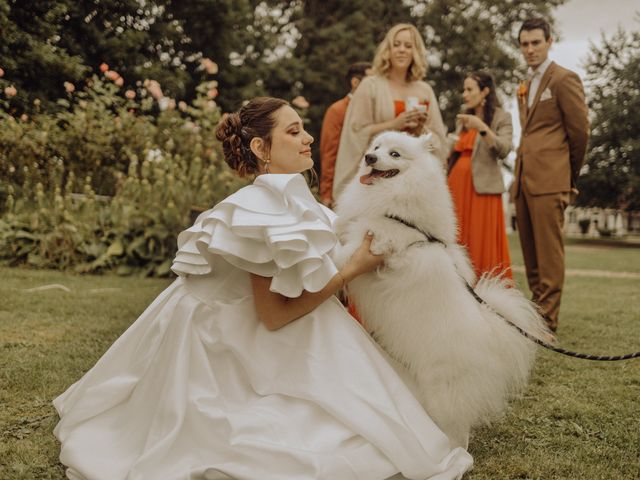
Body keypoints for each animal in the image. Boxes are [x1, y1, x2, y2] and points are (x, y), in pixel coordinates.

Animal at [332, 130, 548, 446]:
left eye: (394, 154)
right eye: (376, 147)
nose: (369, 158)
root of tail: (491, 335)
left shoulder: (375, 242)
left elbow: (343, 254)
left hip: (444, 387)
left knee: (459, 427)